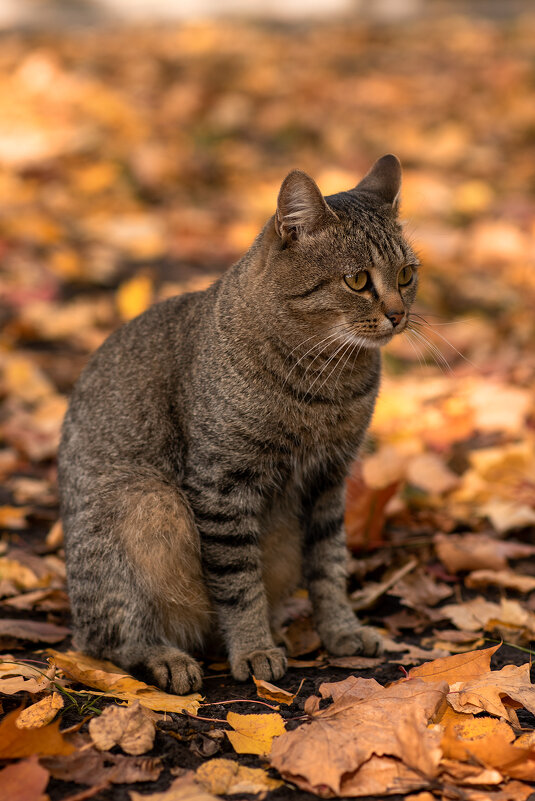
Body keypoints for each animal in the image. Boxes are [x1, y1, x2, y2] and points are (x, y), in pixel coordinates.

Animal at [57, 153, 418, 692]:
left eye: (407, 274)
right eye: (357, 281)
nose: (398, 315)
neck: (327, 382)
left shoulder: (329, 480)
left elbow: (329, 566)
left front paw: (341, 630)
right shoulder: (223, 485)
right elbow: (238, 582)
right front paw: (252, 649)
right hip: (143, 500)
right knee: (106, 639)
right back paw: (168, 658)